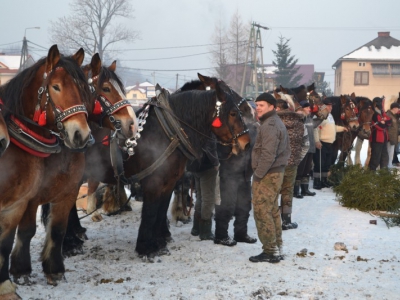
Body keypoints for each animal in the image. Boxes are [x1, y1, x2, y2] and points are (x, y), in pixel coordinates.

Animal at [0, 44, 92, 298]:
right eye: (56, 86)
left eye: (83, 88)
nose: (81, 135)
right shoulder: (28, 200)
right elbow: (26, 231)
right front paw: (21, 271)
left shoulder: (66, 193)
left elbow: (58, 230)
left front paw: (54, 269)